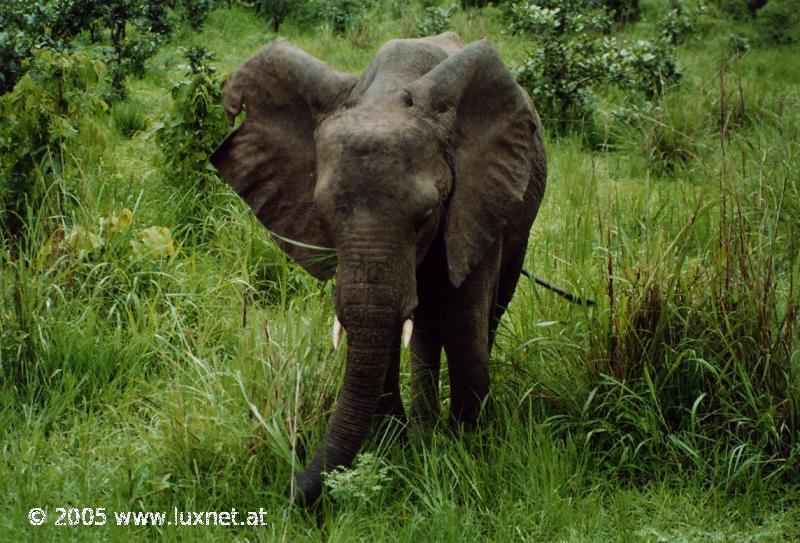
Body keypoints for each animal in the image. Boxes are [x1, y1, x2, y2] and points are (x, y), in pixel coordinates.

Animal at [211, 30, 552, 506]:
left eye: (426, 215)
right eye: (323, 214)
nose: (285, 495)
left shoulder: (476, 198)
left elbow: (463, 321)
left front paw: (472, 449)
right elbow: (385, 325)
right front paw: (396, 445)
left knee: (484, 311)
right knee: (424, 323)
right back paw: (424, 427)